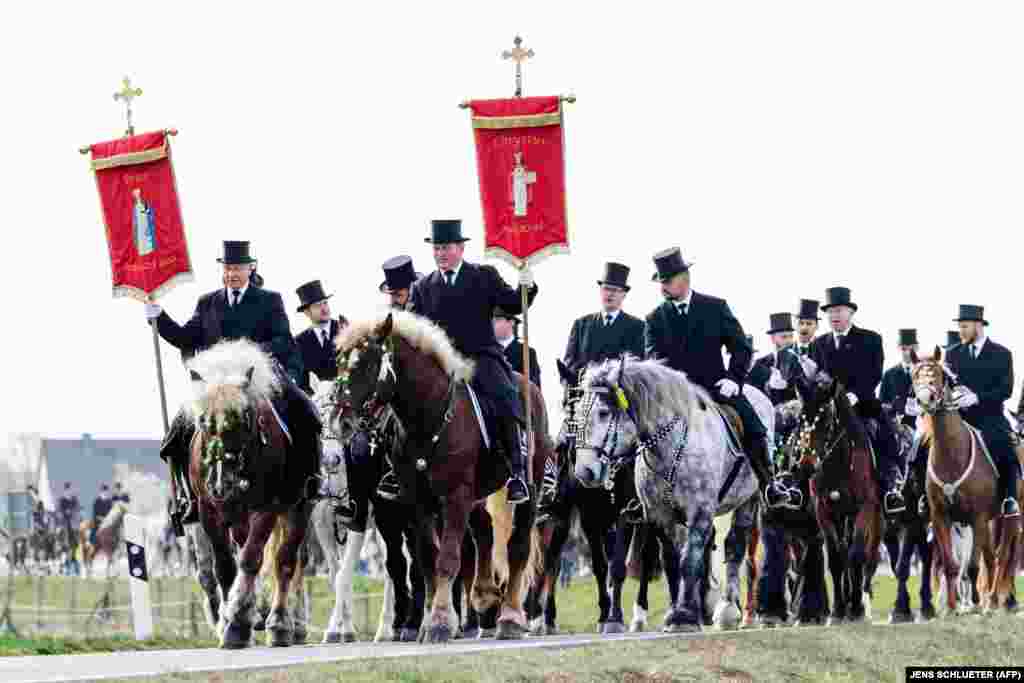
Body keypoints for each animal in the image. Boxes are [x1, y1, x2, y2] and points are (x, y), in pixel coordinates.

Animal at [186, 339, 315, 651]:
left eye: (244, 417)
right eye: (203, 420)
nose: (221, 483)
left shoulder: (267, 508)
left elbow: (251, 559)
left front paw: (239, 623)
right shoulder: (209, 511)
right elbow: (225, 566)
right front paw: (229, 620)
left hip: (298, 509)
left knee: (286, 562)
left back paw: (280, 624)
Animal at [335, 313, 548, 643]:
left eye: (367, 364)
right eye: (340, 363)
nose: (342, 422)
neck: (428, 416)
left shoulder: (455, 497)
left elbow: (447, 559)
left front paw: (439, 622)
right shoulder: (417, 502)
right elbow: (427, 559)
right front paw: (428, 621)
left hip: (528, 489)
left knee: (518, 544)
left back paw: (510, 617)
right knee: (484, 533)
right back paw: (484, 597)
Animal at [528, 360, 679, 638]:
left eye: (597, 411)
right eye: (566, 403)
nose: (563, 446)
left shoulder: (624, 514)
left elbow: (618, 566)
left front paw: (614, 617)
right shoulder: (589, 518)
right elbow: (599, 566)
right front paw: (603, 613)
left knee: (655, 556)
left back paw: (650, 613)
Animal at [786, 362, 884, 626]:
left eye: (826, 420)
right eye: (801, 419)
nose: (805, 467)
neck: (839, 465)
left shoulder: (864, 508)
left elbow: (857, 555)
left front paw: (856, 608)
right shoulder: (824, 511)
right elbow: (836, 559)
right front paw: (839, 610)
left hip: (874, 520)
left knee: (867, 559)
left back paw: (861, 604)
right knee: (844, 553)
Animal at [909, 348, 1019, 614]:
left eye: (937, 374)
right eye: (915, 376)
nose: (925, 399)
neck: (951, 453)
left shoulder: (976, 516)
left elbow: (971, 565)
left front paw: (975, 606)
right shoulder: (940, 516)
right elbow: (951, 564)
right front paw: (950, 608)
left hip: (1009, 517)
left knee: (1001, 557)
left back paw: (994, 600)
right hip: (990, 521)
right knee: (990, 557)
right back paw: (991, 601)